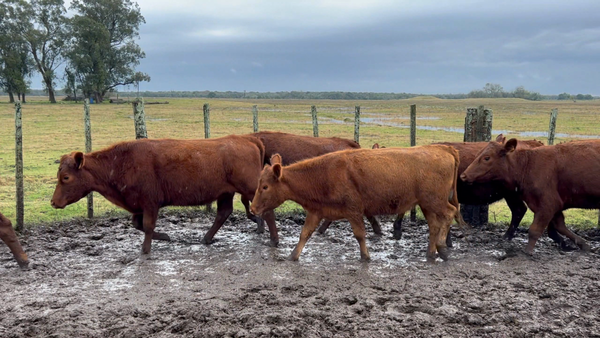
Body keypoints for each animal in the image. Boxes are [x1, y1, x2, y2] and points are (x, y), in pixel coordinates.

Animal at [51, 135, 278, 254]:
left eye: (66, 177)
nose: (53, 202)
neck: (121, 162)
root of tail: (247, 138)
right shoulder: (138, 206)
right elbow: (138, 225)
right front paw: (165, 237)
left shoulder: (150, 203)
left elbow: (148, 226)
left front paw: (145, 250)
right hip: (225, 192)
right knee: (223, 213)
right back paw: (206, 238)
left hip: (250, 189)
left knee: (266, 212)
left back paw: (274, 240)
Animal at [248, 145, 460, 262]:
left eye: (265, 186)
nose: (253, 208)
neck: (324, 175)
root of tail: (443, 148)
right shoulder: (316, 211)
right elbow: (304, 234)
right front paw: (293, 256)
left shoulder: (354, 210)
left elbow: (359, 235)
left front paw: (365, 257)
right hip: (426, 204)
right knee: (433, 226)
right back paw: (431, 253)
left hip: (436, 200)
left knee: (450, 213)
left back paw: (442, 247)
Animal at [460, 138, 596, 254]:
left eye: (487, 158)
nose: (463, 175)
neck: (528, 164)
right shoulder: (550, 205)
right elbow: (559, 225)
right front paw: (581, 244)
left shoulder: (548, 204)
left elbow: (535, 229)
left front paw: (528, 252)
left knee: (519, 211)